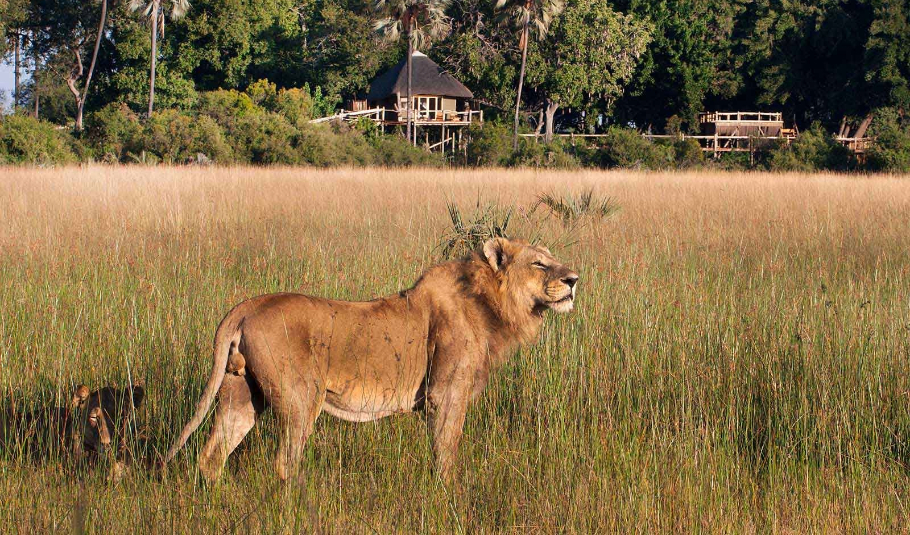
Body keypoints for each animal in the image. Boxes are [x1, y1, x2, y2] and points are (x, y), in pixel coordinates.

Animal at [162, 239, 576, 482]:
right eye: (540, 264)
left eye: (554, 261)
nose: (574, 279)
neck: (489, 303)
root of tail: (248, 305)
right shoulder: (445, 395)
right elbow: (445, 455)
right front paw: (447, 498)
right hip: (300, 399)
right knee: (285, 463)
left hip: (241, 392)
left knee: (212, 455)